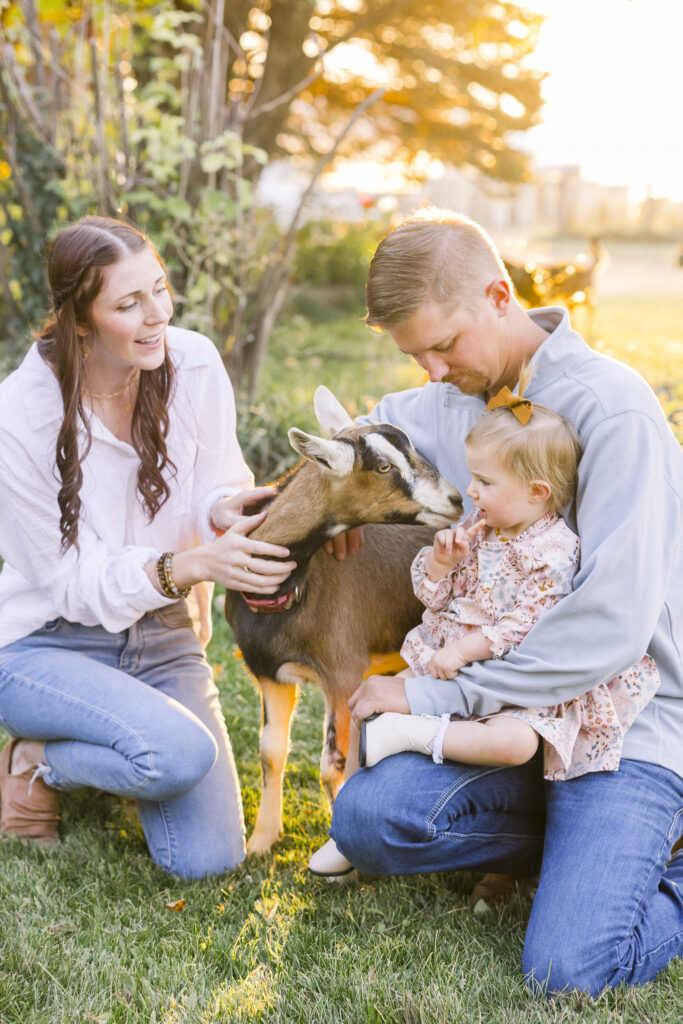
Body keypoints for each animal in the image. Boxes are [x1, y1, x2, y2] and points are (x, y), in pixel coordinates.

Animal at [227, 387, 462, 851]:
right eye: (384, 466)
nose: (456, 500)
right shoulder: (271, 674)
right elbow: (271, 753)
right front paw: (260, 842)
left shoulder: (344, 675)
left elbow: (334, 764)